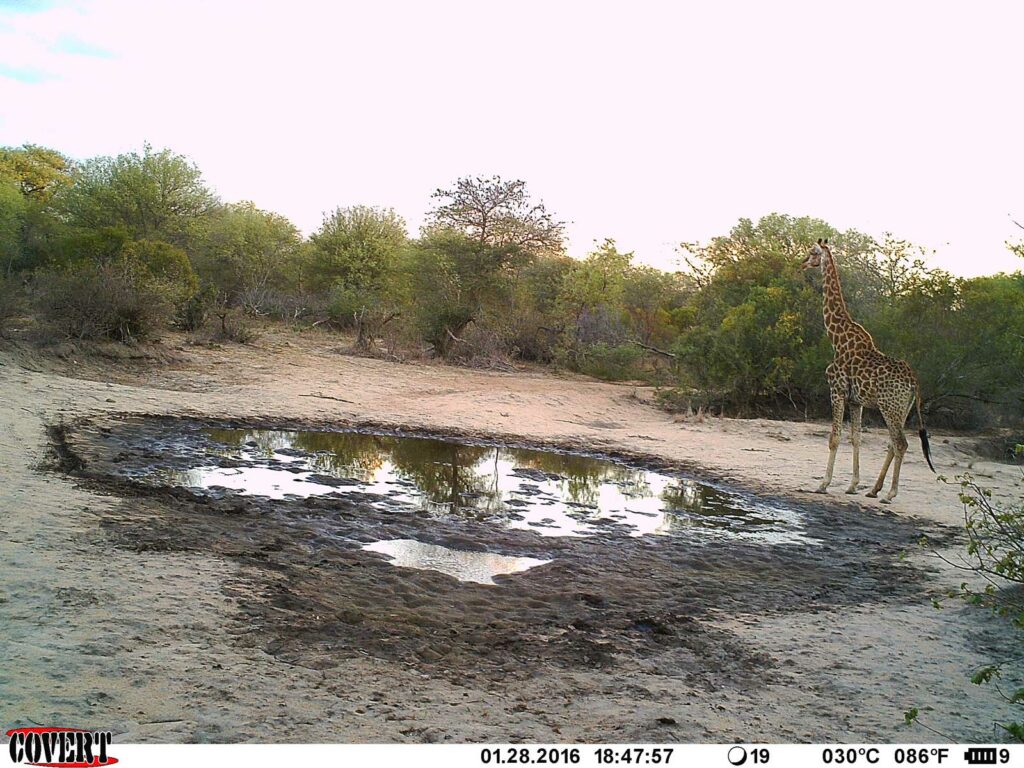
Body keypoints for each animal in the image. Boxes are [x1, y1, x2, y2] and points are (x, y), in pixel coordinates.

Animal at [802, 238, 935, 502]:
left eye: (812, 252)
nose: (802, 263)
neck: (837, 338)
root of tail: (914, 382)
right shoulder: (856, 400)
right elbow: (856, 438)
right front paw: (853, 485)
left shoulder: (837, 391)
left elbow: (834, 438)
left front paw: (823, 484)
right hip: (901, 409)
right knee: (893, 443)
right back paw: (874, 489)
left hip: (889, 407)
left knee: (901, 443)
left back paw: (890, 493)